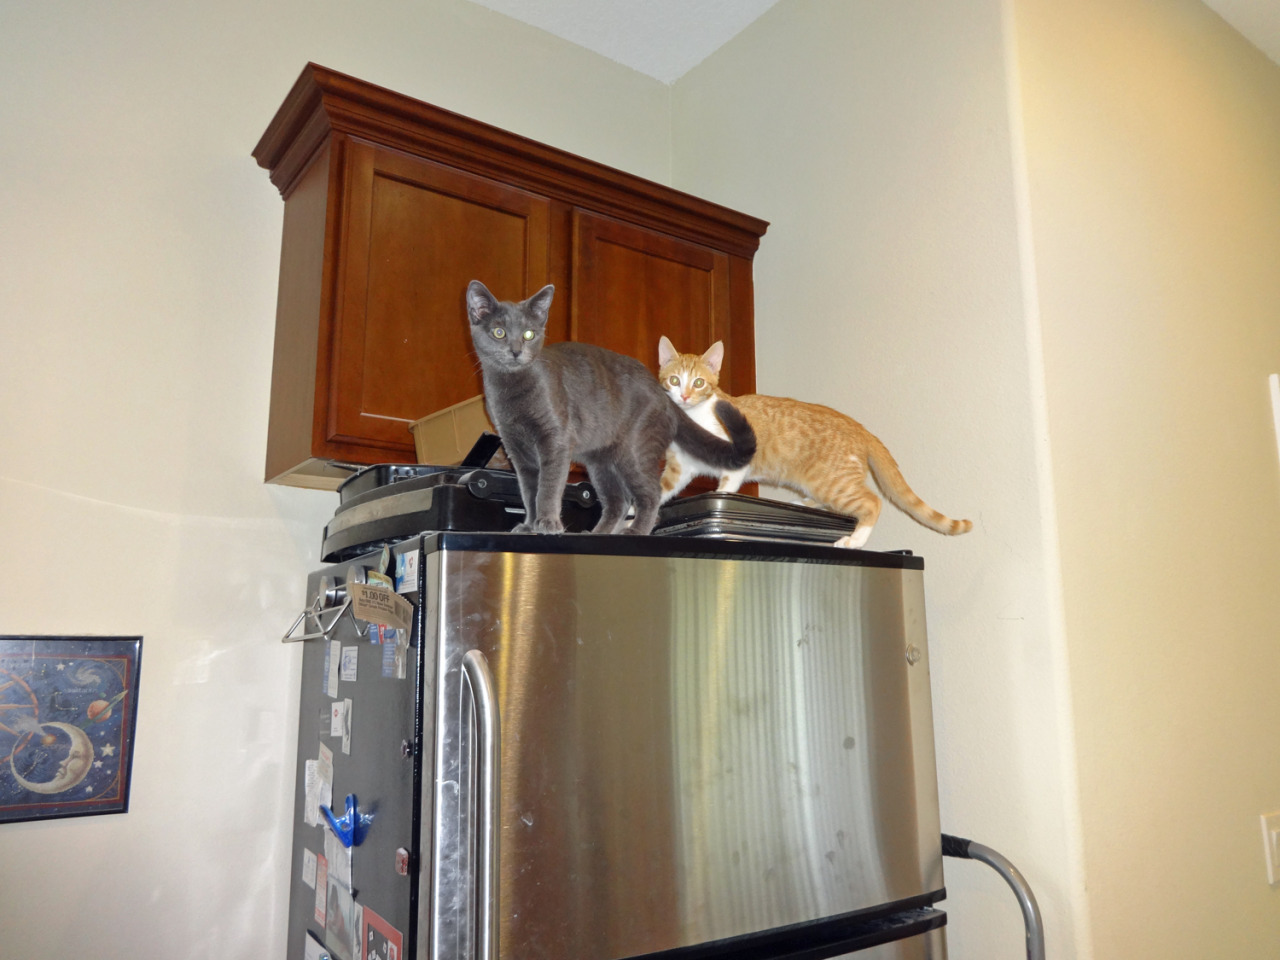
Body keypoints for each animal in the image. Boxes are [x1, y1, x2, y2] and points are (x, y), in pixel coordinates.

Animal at [466, 282, 756, 536]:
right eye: (499, 332)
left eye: (529, 334)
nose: (516, 351)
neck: (511, 391)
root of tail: (665, 397)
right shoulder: (517, 449)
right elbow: (528, 491)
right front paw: (529, 525)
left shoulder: (555, 441)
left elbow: (548, 487)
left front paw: (546, 523)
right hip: (601, 463)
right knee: (618, 501)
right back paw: (596, 533)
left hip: (635, 453)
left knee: (650, 494)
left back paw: (637, 531)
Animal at [657, 336, 972, 549]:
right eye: (674, 380)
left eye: (698, 383)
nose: (684, 396)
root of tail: (859, 426)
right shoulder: (679, 468)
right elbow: (661, 489)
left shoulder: (737, 459)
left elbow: (727, 485)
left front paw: (722, 494)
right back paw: (805, 502)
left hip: (832, 483)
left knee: (872, 502)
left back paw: (855, 541)